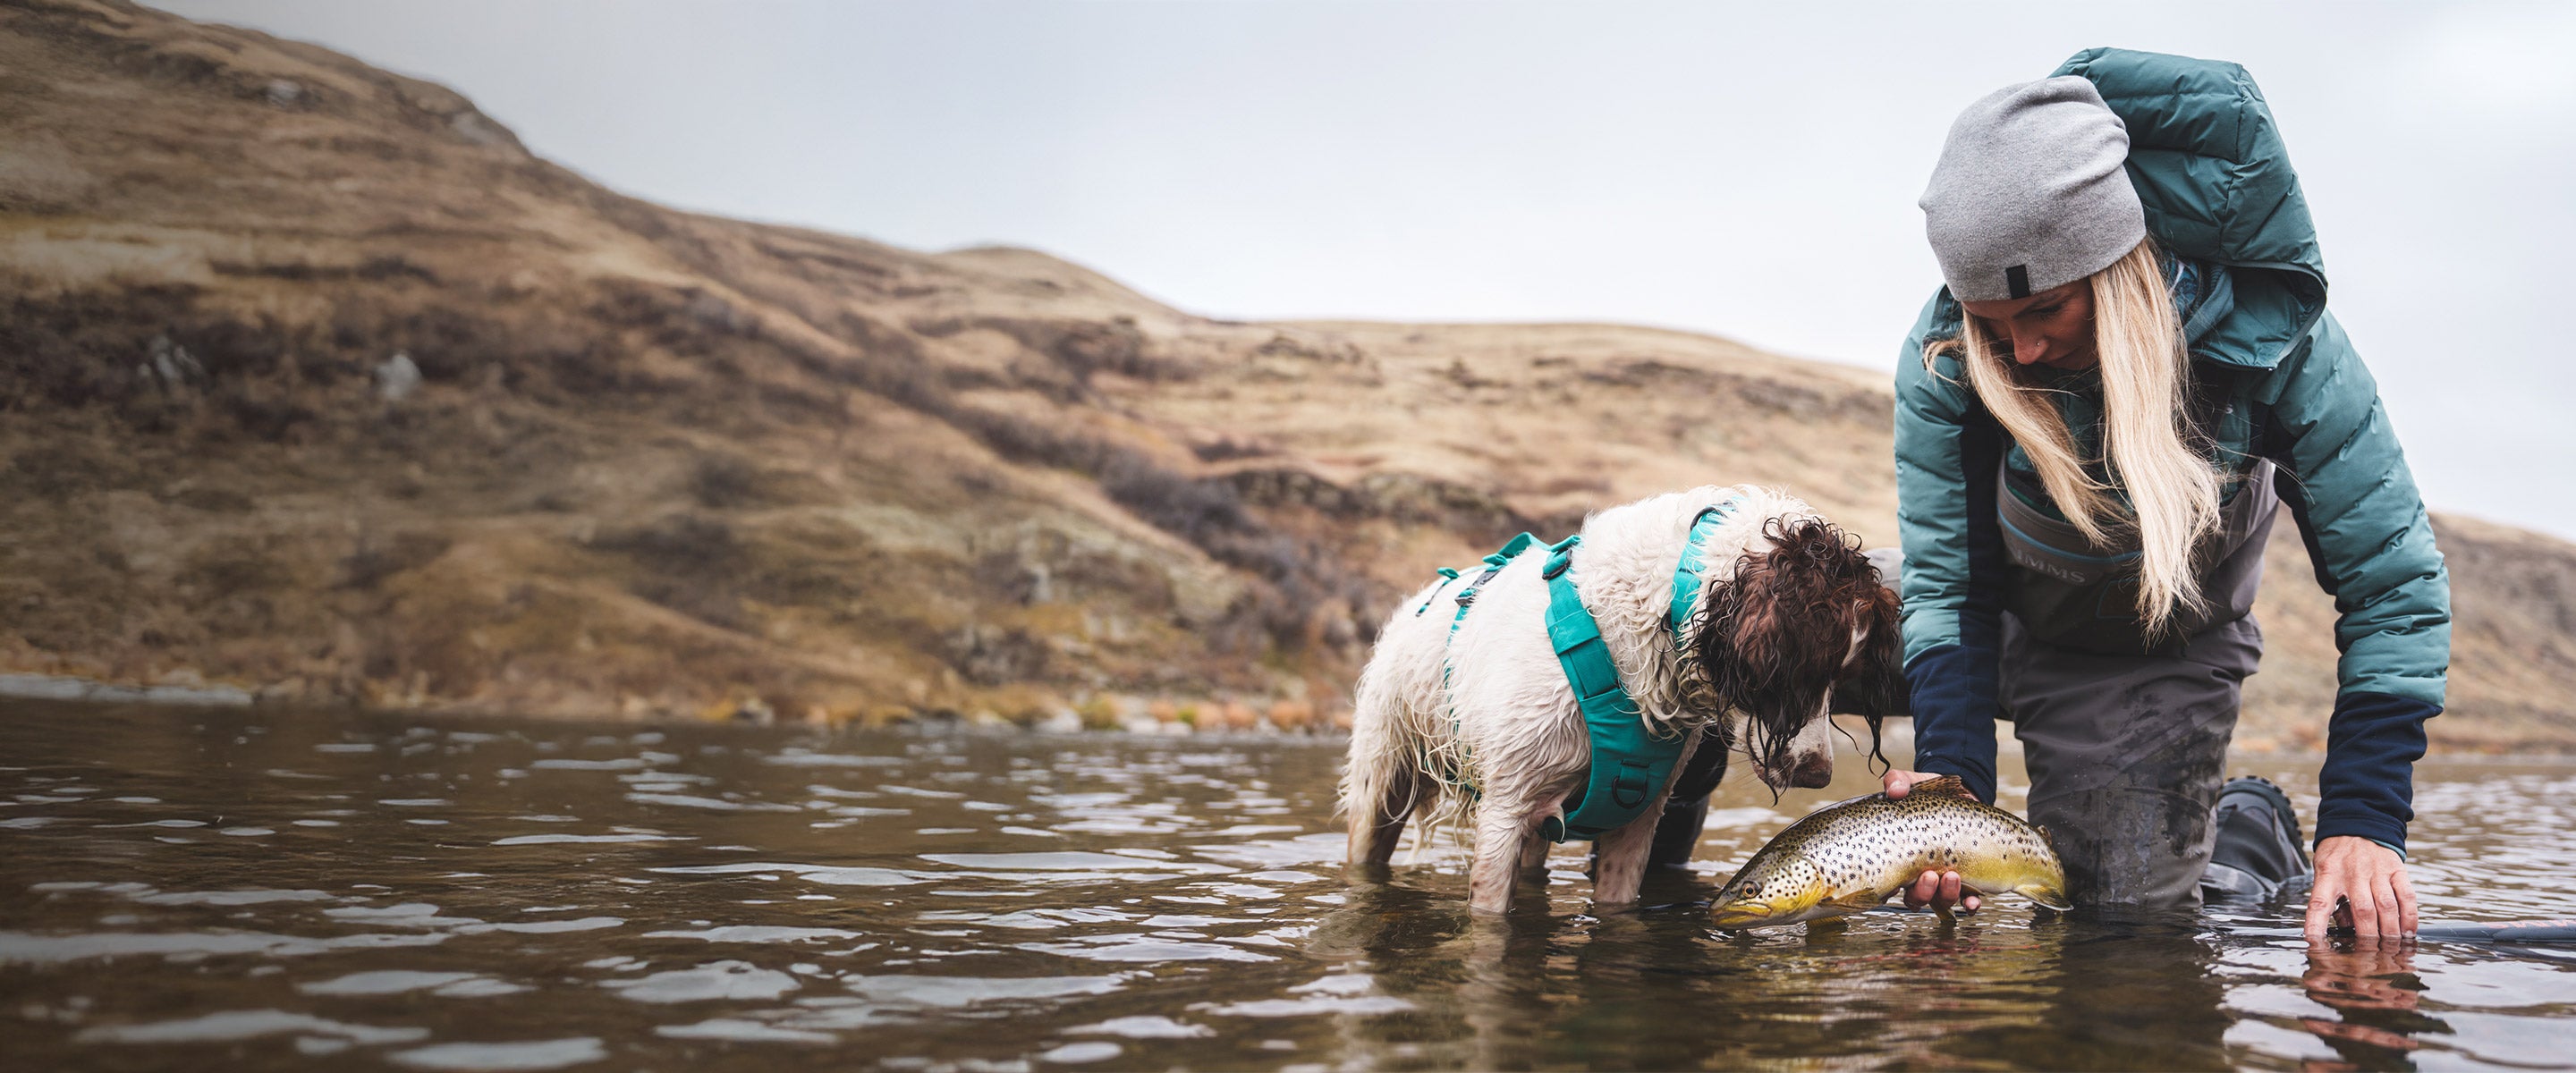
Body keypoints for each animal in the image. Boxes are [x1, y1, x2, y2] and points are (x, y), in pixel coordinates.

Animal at [1339, 484, 1906, 910]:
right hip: (1383, 781)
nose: (1819, 775)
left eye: (1843, 678)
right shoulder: (1505, 810)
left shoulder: (1636, 822)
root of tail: (1421, 598)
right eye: (1799, 672)